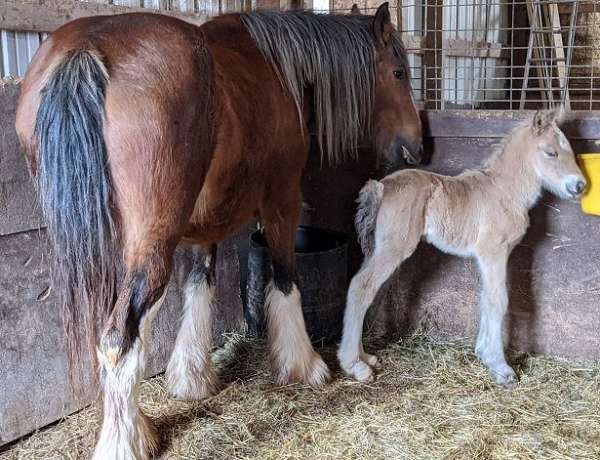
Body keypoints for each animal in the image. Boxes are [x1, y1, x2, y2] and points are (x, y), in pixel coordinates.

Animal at [14, 4, 422, 460]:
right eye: (399, 72)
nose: (416, 148)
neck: (277, 67)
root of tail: (87, 50)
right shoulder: (282, 200)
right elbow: (286, 279)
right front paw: (304, 365)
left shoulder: (203, 222)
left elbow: (199, 286)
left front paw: (192, 379)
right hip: (154, 245)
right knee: (119, 337)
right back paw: (126, 441)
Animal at [338, 109, 584, 386]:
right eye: (550, 152)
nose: (580, 186)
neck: (505, 192)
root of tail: (382, 187)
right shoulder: (493, 252)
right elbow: (499, 299)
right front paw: (500, 367)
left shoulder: (492, 257)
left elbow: (487, 298)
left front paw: (484, 354)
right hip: (393, 248)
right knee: (361, 287)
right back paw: (355, 365)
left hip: (376, 248)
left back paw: (365, 357)